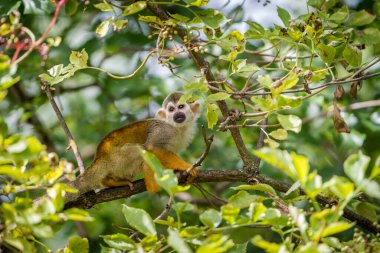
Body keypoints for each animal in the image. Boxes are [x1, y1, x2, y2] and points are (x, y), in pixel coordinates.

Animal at [65, 92, 200, 203]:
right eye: (171, 109)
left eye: (181, 107)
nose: (177, 114)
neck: (177, 128)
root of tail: (100, 156)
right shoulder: (164, 131)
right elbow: (153, 147)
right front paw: (185, 166)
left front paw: (181, 176)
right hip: (119, 158)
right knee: (142, 150)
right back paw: (152, 185)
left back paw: (109, 182)